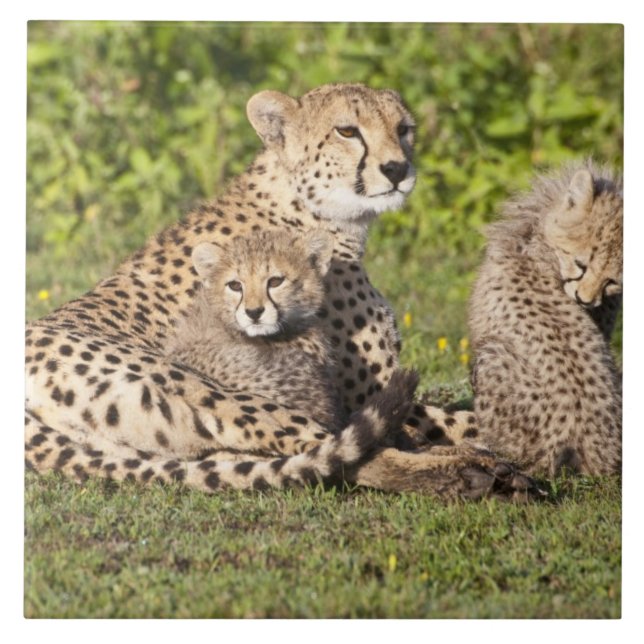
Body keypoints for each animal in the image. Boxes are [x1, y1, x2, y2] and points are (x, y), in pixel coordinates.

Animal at [25, 82, 536, 498]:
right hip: (215, 390)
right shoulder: (356, 393)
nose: (397, 168)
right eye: (348, 131)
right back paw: (472, 473)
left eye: (404, 129)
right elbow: (446, 420)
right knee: (342, 453)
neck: (312, 210)